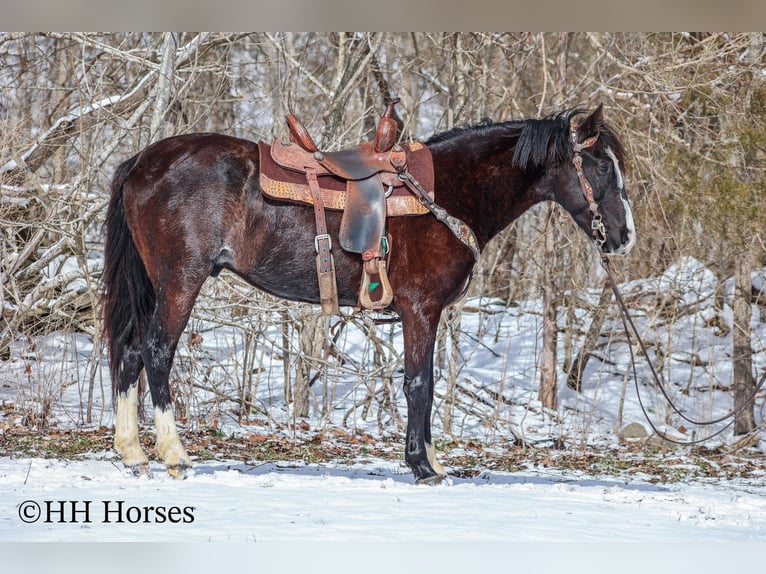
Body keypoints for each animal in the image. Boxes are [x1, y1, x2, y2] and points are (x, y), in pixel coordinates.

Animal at [102, 104, 635, 483]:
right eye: (600, 167)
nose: (624, 236)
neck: (444, 193)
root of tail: (142, 161)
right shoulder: (421, 310)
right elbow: (420, 384)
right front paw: (423, 467)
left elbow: (425, 383)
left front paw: (431, 462)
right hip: (180, 282)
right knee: (157, 352)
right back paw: (173, 454)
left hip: (153, 284)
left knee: (129, 353)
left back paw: (132, 454)